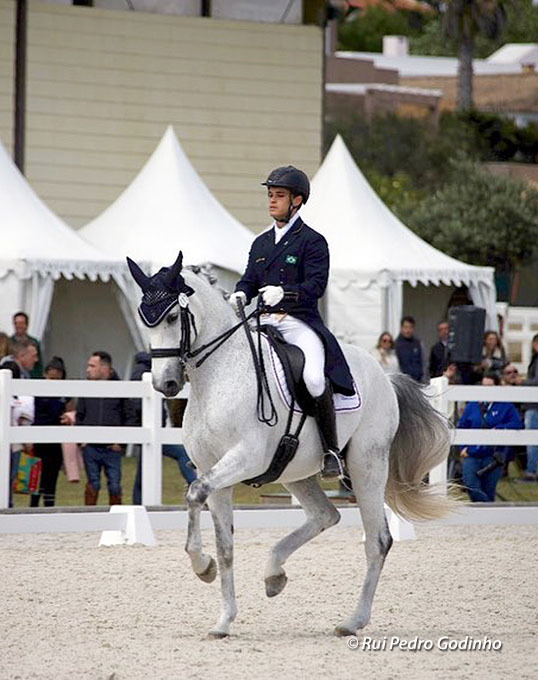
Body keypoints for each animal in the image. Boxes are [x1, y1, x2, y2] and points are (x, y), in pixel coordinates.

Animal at [127, 254, 450, 636]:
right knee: (326, 515)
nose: (165, 384)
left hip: (367, 466)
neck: (219, 375)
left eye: (173, 317)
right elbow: (225, 545)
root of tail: (384, 375)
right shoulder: (213, 471)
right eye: (144, 318)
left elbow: (194, 494)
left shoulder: (243, 459)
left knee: (378, 541)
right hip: (294, 472)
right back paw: (274, 574)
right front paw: (223, 618)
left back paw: (352, 621)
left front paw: (201, 566)